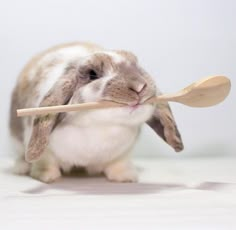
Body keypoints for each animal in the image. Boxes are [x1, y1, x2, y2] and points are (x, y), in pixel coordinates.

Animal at [9, 41, 183, 183]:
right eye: (92, 74)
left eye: (137, 66)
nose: (140, 86)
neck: (101, 127)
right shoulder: (44, 151)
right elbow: (45, 162)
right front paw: (47, 176)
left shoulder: (123, 153)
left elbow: (119, 163)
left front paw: (126, 177)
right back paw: (20, 167)